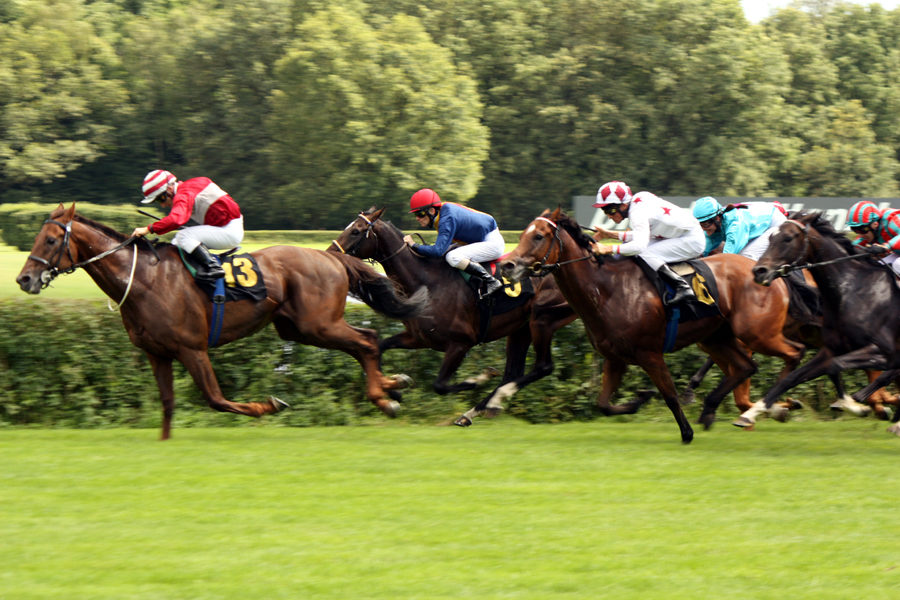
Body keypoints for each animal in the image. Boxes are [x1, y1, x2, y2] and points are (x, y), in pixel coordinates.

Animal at [15, 204, 428, 438]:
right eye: (37, 237)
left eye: (50, 240)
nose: (24, 279)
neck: (145, 279)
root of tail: (331, 256)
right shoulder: (157, 353)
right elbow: (167, 403)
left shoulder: (191, 347)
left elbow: (215, 399)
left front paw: (269, 405)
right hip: (299, 328)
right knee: (366, 339)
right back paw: (393, 385)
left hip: (317, 324)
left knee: (367, 340)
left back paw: (385, 398)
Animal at [328, 209, 576, 424]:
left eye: (356, 231)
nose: (331, 252)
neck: (427, 282)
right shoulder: (418, 337)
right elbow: (380, 346)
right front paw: (395, 389)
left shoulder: (460, 343)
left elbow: (440, 385)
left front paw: (477, 380)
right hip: (520, 328)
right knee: (513, 373)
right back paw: (481, 408)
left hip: (542, 319)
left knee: (543, 367)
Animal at [500, 209, 808, 442]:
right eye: (524, 233)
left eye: (538, 236)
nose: (507, 265)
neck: (607, 290)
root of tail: (768, 273)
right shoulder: (615, 357)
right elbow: (603, 404)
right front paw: (640, 400)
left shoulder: (650, 353)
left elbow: (669, 395)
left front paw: (686, 433)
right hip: (716, 337)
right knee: (745, 367)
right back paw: (746, 407)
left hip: (756, 332)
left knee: (794, 352)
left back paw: (768, 403)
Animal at [744, 211, 900, 432]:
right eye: (771, 237)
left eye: (788, 238)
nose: (759, 271)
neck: (853, 290)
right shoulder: (832, 348)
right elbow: (791, 378)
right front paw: (751, 413)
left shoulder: (883, 351)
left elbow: (835, 366)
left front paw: (853, 404)